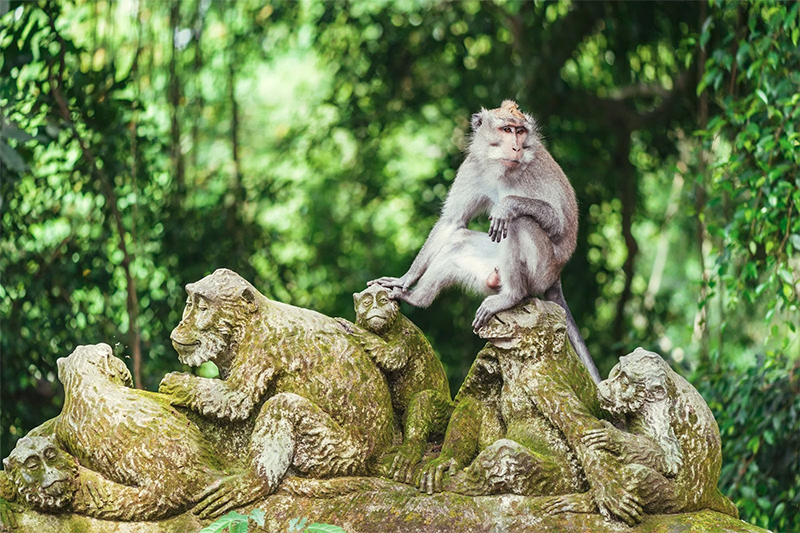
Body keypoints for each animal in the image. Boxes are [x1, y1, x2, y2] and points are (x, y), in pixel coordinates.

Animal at [370, 100, 601, 384]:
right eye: (506, 129)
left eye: (520, 131)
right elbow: (452, 222)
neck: (502, 169)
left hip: (540, 271)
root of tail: (556, 276)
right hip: (492, 271)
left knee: (519, 223)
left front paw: (507, 205)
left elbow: (558, 223)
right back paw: (416, 299)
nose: (516, 146)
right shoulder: (472, 167)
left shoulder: (534, 171)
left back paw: (512, 295)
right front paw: (405, 279)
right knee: (458, 241)